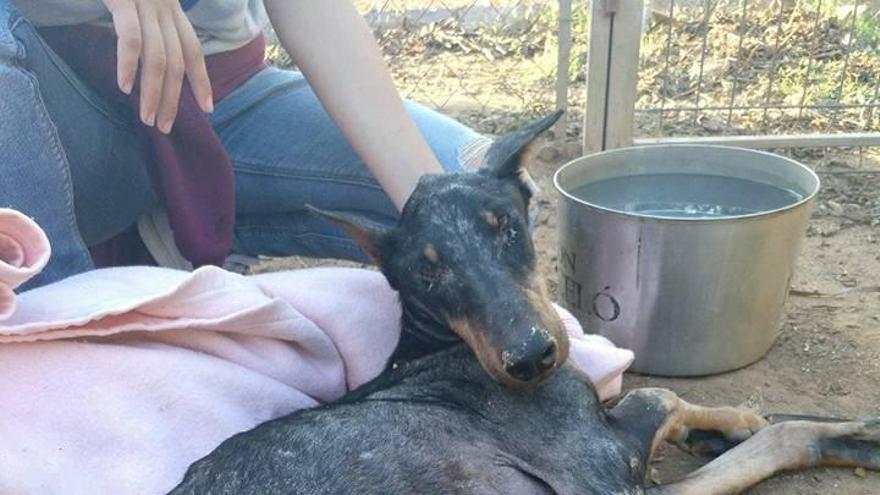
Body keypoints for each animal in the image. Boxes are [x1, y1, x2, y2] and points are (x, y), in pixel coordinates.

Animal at [168, 113, 876, 495]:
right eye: (426, 273)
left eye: (505, 225)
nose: (530, 358)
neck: (438, 345)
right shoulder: (603, 472)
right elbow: (667, 398)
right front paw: (835, 434)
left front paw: (730, 422)